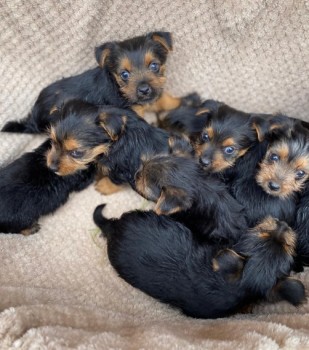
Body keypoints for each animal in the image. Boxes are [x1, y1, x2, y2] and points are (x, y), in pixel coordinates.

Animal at [2, 31, 197, 133]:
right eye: (124, 74)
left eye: (154, 66)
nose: (143, 89)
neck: (118, 88)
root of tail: (34, 113)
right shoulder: (133, 112)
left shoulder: (154, 94)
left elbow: (164, 99)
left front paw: (183, 101)